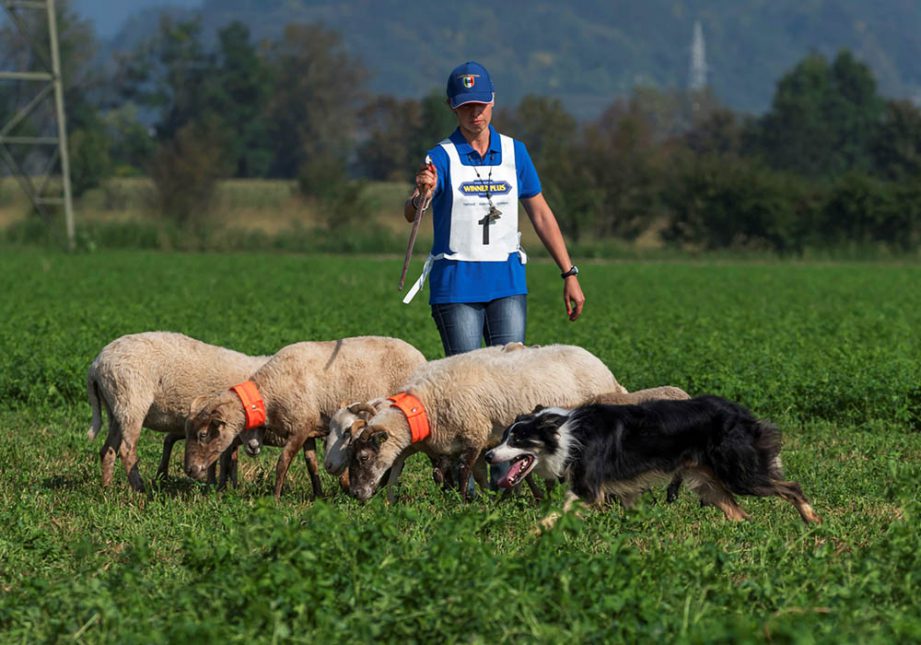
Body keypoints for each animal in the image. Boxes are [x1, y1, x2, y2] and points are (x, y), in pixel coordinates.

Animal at [86, 330, 270, 490]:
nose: (254, 448)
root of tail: (96, 366)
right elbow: (224, 458)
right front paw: (220, 488)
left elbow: (227, 457)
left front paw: (227, 486)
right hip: (132, 401)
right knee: (126, 450)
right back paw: (140, 489)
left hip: (116, 407)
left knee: (108, 450)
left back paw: (107, 489)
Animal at [183, 334, 428, 500]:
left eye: (203, 434)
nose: (189, 470)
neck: (269, 390)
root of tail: (419, 355)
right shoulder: (309, 429)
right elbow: (311, 464)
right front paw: (318, 495)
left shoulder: (300, 426)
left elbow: (283, 461)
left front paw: (276, 498)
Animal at [346, 342, 624, 504]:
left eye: (363, 457)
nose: (356, 494)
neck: (424, 407)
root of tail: (606, 370)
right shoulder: (460, 445)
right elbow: (464, 475)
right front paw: (489, 500)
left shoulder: (474, 435)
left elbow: (464, 472)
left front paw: (462, 505)